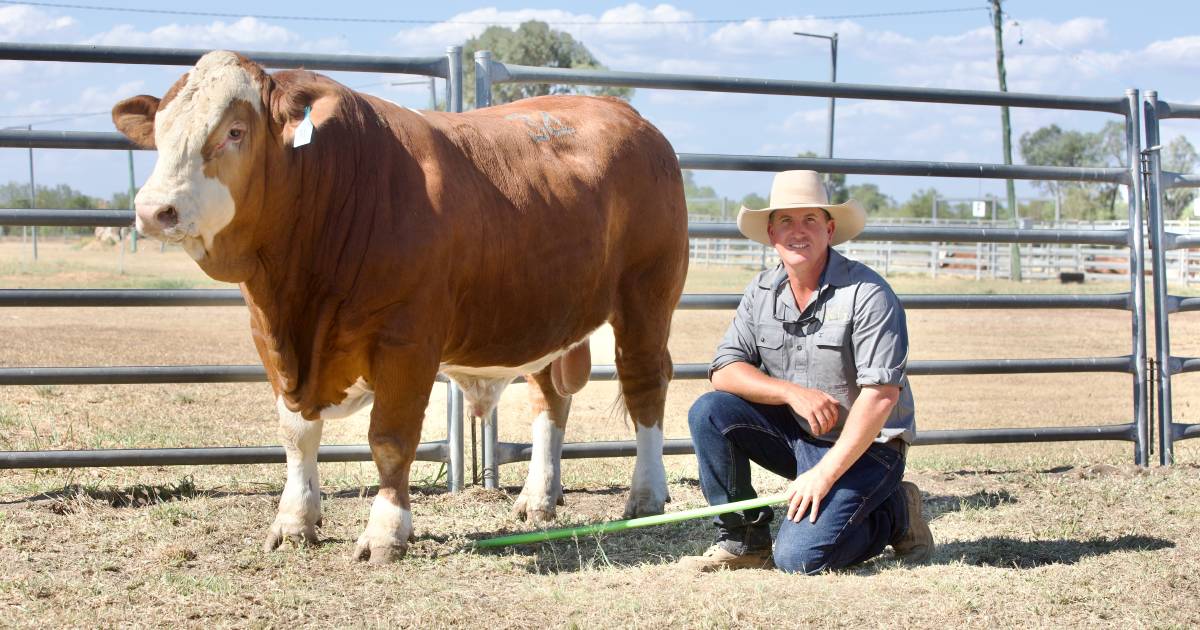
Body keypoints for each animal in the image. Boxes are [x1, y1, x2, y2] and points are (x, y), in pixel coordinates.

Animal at [112, 50, 696, 559]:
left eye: (235, 131)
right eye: (160, 132)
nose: (153, 210)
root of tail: (629, 115)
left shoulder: (407, 342)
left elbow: (390, 439)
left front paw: (386, 533)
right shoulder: (269, 338)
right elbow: (296, 434)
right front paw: (295, 522)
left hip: (646, 296)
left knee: (645, 385)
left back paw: (645, 496)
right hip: (545, 317)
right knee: (549, 399)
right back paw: (538, 499)